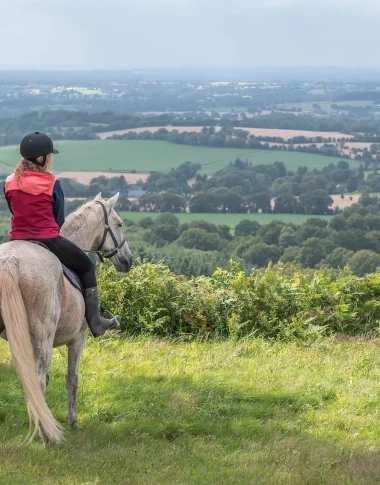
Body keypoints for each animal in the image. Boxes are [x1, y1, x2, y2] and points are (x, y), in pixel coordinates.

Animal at [0, 192, 133, 442]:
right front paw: (72, 421)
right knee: (39, 380)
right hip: (43, 336)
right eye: (119, 224)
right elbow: (72, 379)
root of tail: (10, 260)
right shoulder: (78, 339)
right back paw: (48, 436)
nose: (128, 261)